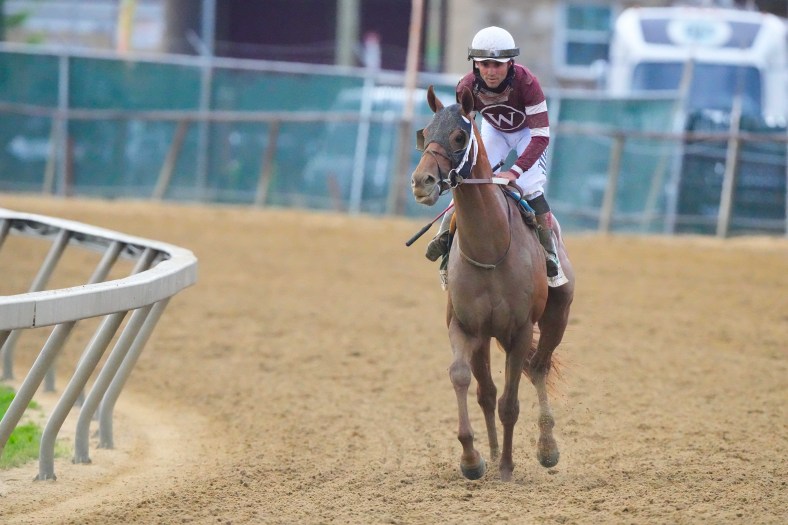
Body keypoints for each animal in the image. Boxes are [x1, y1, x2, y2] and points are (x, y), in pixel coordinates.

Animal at [410, 86, 576, 484]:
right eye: (425, 132)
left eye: (459, 136)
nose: (421, 181)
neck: (489, 247)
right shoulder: (465, 325)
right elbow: (462, 378)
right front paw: (473, 459)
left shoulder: (519, 331)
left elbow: (510, 404)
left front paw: (507, 468)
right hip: (486, 336)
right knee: (487, 390)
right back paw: (496, 450)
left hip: (555, 317)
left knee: (539, 367)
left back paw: (546, 448)